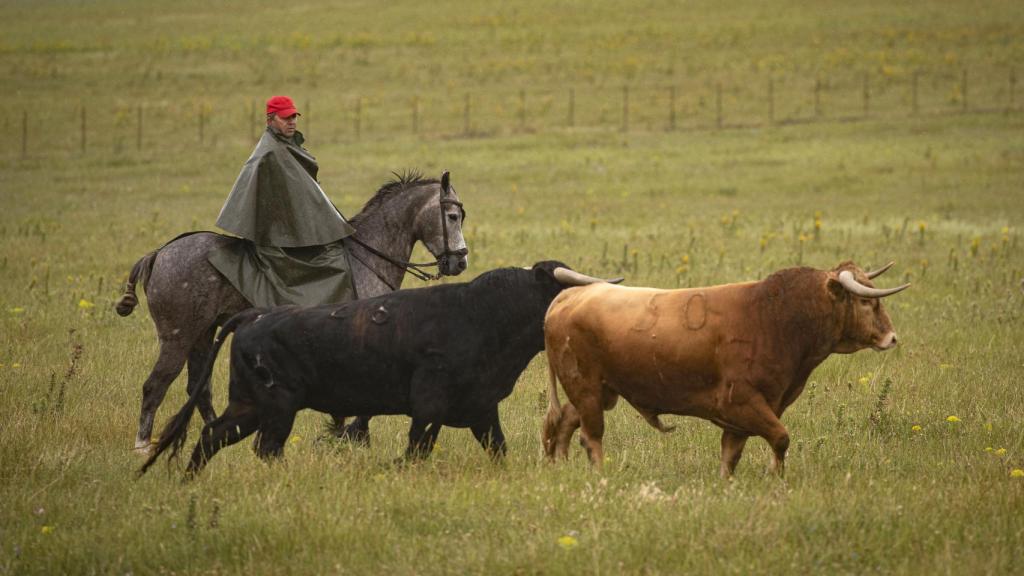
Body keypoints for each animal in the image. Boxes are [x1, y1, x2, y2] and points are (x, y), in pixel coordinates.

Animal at [118, 170, 468, 448]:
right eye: (453, 217)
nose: (460, 262)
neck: (368, 258)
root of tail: (159, 254)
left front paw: (342, 432)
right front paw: (351, 434)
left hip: (203, 334)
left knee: (198, 389)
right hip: (178, 336)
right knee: (155, 386)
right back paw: (143, 447)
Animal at [139, 260, 610, 475]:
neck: (484, 315)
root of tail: (255, 316)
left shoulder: (481, 408)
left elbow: (498, 448)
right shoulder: (429, 406)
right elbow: (417, 448)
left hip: (248, 405)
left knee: (212, 435)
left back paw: (188, 481)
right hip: (277, 407)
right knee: (266, 448)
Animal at [540, 260, 909, 475]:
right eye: (865, 301)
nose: (891, 337)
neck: (775, 319)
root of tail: (567, 298)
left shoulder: (746, 415)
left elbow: (731, 455)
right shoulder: (742, 402)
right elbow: (781, 438)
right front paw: (776, 477)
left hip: (601, 392)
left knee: (563, 422)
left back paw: (560, 467)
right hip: (587, 388)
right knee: (591, 436)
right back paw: (600, 477)